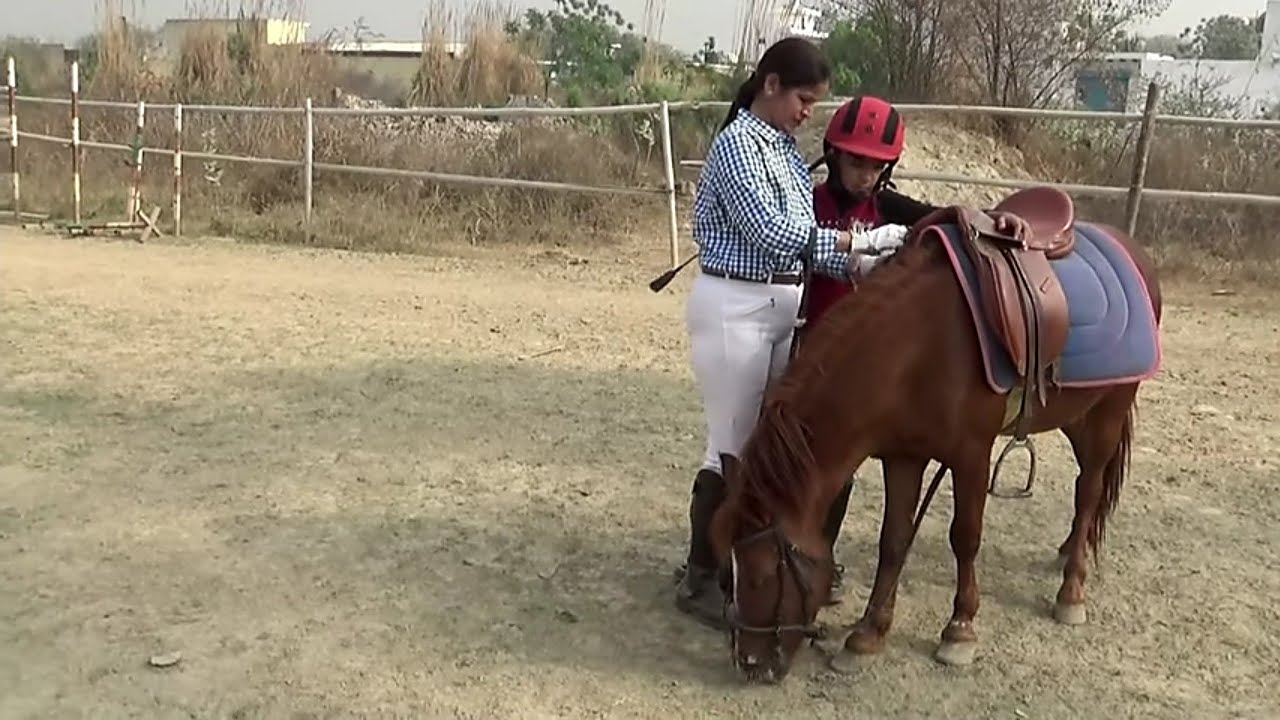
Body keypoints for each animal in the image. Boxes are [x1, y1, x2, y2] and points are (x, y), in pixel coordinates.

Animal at [707, 187, 1164, 684]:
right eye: (727, 569)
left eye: (761, 576)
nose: (750, 663)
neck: (918, 348)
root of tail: (1132, 249)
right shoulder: (902, 456)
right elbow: (893, 541)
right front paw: (867, 634)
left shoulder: (971, 455)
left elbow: (965, 537)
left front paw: (959, 629)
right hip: (1077, 414)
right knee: (1086, 488)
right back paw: (1065, 554)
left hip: (1108, 412)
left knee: (1090, 491)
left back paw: (1071, 590)